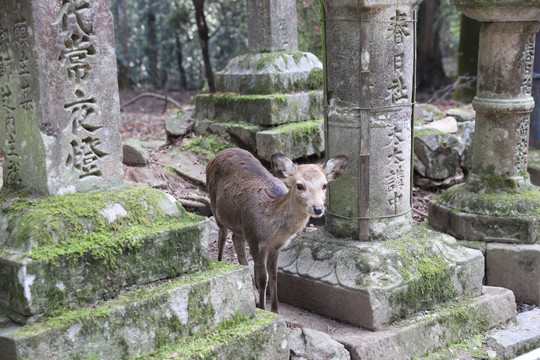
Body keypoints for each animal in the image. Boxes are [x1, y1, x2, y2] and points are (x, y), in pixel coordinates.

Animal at [205, 147, 348, 312]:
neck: (271, 231)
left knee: (236, 240)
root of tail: (218, 154)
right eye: (299, 185)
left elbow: (273, 276)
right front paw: (263, 308)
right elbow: (263, 278)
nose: (318, 208)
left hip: (239, 226)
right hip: (215, 208)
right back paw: (220, 263)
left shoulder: (275, 246)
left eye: (324, 185)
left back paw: (253, 295)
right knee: (222, 236)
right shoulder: (254, 239)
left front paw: (275, 310)